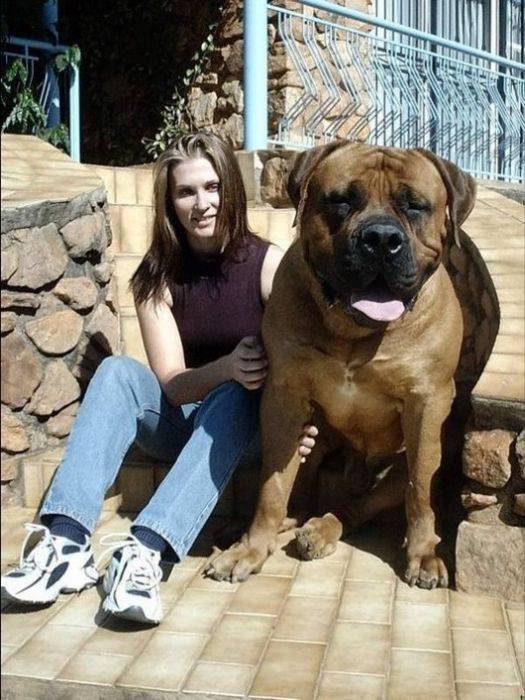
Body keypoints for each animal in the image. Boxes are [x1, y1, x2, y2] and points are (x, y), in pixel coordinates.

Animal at [206, 141, 476, 589]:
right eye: (341, 200)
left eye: (415, 205)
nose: (381, 238)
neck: (355, 332)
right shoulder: (284, 398)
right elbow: (272, 487)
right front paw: (251, 548)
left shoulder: (428, 403)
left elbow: (419, 491)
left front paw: (423, 554)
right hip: (312, 435)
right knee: (302, 494)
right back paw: (271, 528)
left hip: (417, 455)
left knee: (360, 506)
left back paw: (319, 531)